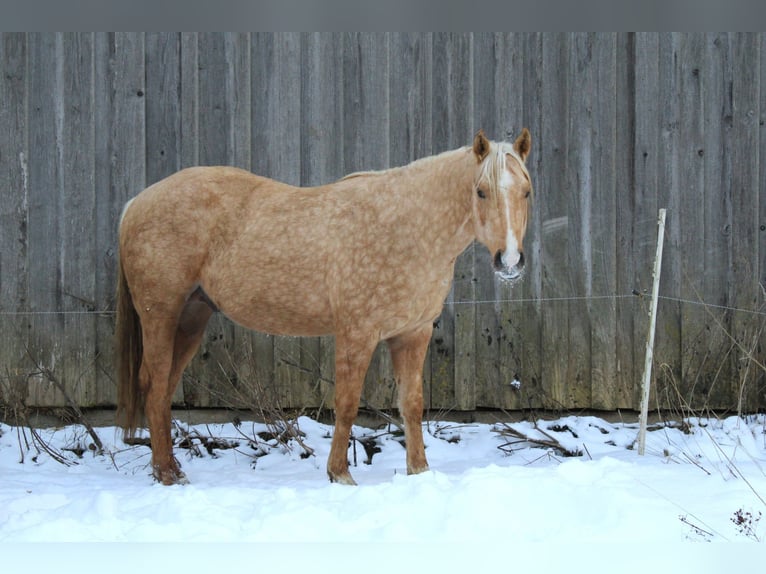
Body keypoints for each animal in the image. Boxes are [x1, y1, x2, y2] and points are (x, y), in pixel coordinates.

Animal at [115, 128, 533, 485]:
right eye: (481, 192)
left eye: (526, 191)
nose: (510, 261)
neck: (404, 228)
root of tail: (136, 203)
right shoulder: (357, 333)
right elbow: (346, 404)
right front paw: (340, 474)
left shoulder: (412, 334)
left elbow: (411, 405)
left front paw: (419, 471)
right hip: (161, 315)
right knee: (154, 386)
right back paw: (166, 475)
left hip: (191, 317)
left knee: (164, 390)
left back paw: (171, 468)